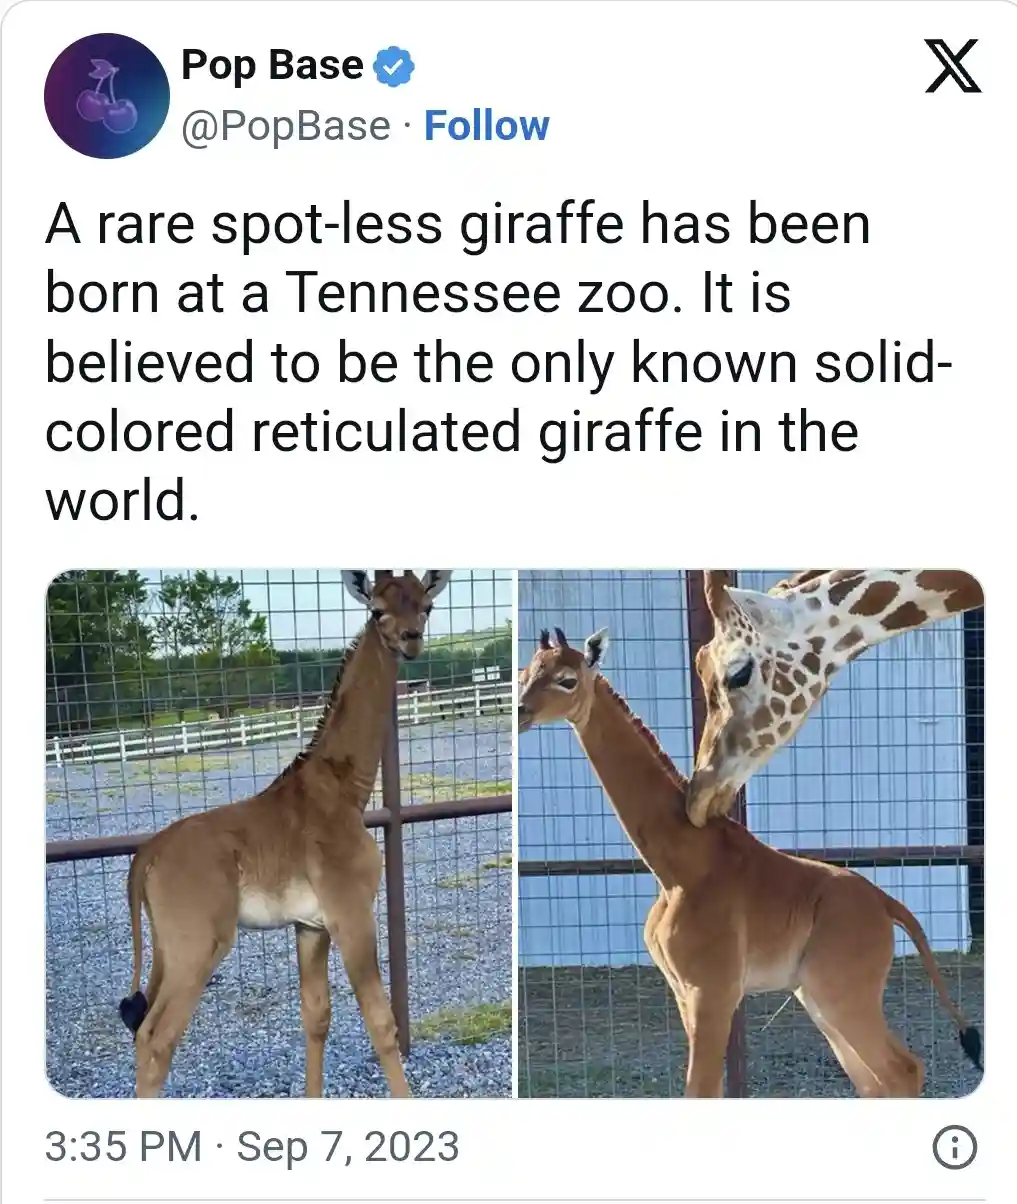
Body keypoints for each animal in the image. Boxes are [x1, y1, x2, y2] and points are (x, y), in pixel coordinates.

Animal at [118, 569, 453, 1098]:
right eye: (377, 610)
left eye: (426, 605)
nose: (411, 639)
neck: (345, 790)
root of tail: (144, 858)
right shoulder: (351, 912)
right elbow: (382, 1023)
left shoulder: (310, 925)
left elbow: (316, 1016)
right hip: (199, 944)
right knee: (157, 1036)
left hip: (167, 948)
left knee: (139, 1025)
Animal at [518, 626, 982, 1097]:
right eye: (525, 673)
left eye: (567, 680)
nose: (520, 712)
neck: (678, 866)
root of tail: (888, 905)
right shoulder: (685, 993)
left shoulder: (713, 990)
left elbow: (701, 1089)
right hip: (818, 995)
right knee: (877, 1081)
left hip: (841, 991)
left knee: (901, 1070)